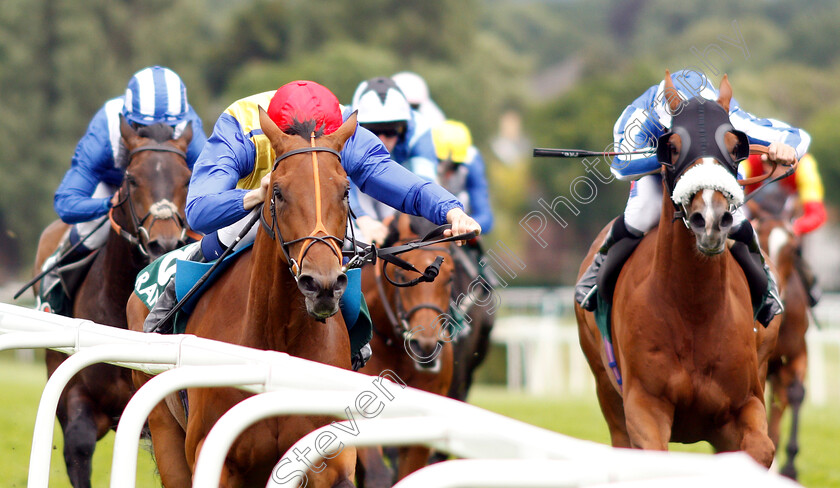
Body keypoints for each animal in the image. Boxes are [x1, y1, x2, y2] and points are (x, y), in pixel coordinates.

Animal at [127, 108, 358, 486]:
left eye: (345, 191)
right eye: (277, 191)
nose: (321, 284)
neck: (277, 343)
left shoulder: (330, 458)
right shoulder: (215, 454)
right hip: (164, 429)